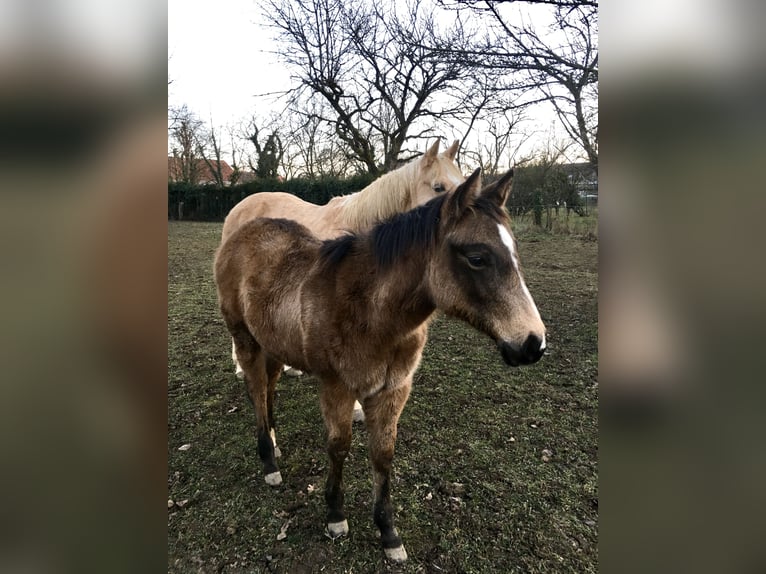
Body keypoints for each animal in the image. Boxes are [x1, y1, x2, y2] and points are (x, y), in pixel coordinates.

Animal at [214, 168, 546, 562]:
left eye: (514, 252)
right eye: (477, 257)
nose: (533, 343)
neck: (373, 313)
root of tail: (241, 232)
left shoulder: (393, 390)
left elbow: (383, 454)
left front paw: (388, 533)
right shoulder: (337, 388)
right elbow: (339, 446)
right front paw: (335, 516)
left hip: (273, 342)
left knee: (270, 386)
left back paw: (275, 443)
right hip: (245, 339)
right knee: (256, 387)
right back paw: (269, 462)